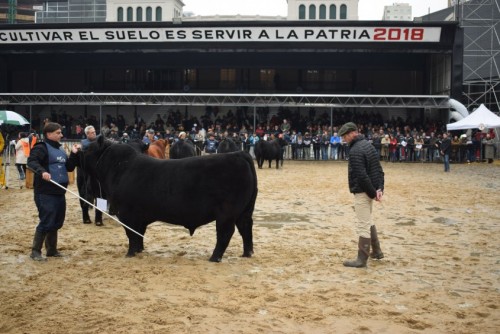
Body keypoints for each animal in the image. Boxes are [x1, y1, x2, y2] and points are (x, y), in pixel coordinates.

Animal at [82, 137, 258, 262]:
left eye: (88, 148)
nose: (79, 153)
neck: (119, 168)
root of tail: (239, 154)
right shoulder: (139, 216)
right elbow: (139, 234)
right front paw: (139, 250)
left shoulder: (126, 213)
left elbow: (131, 234)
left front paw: (130, 253)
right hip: (244, 211)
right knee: (245, 228)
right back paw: (247, 253)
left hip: (226, 213)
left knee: (225, 233)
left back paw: (214, 257)